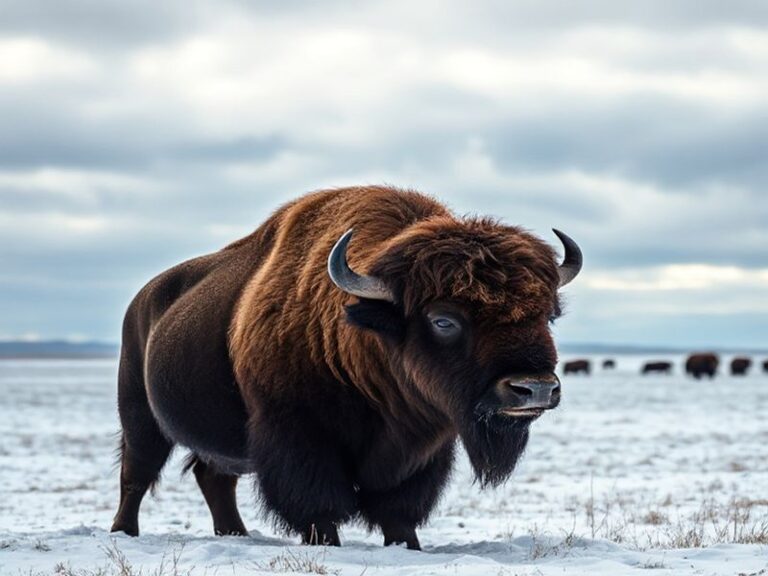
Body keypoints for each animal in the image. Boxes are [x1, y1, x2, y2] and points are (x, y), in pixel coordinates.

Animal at [110, 186, 583, 549]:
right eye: (443, 320)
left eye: (547, 315)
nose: (535, 388)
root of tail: (143, 300)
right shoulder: (298, 437)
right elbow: (318, 506)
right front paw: (327, 544)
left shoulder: (425, 448)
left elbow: (399, 509)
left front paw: (407, 545)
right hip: (140, 416)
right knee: (137, 474)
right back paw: (124, 532)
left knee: (213, 477)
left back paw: (235, 535)